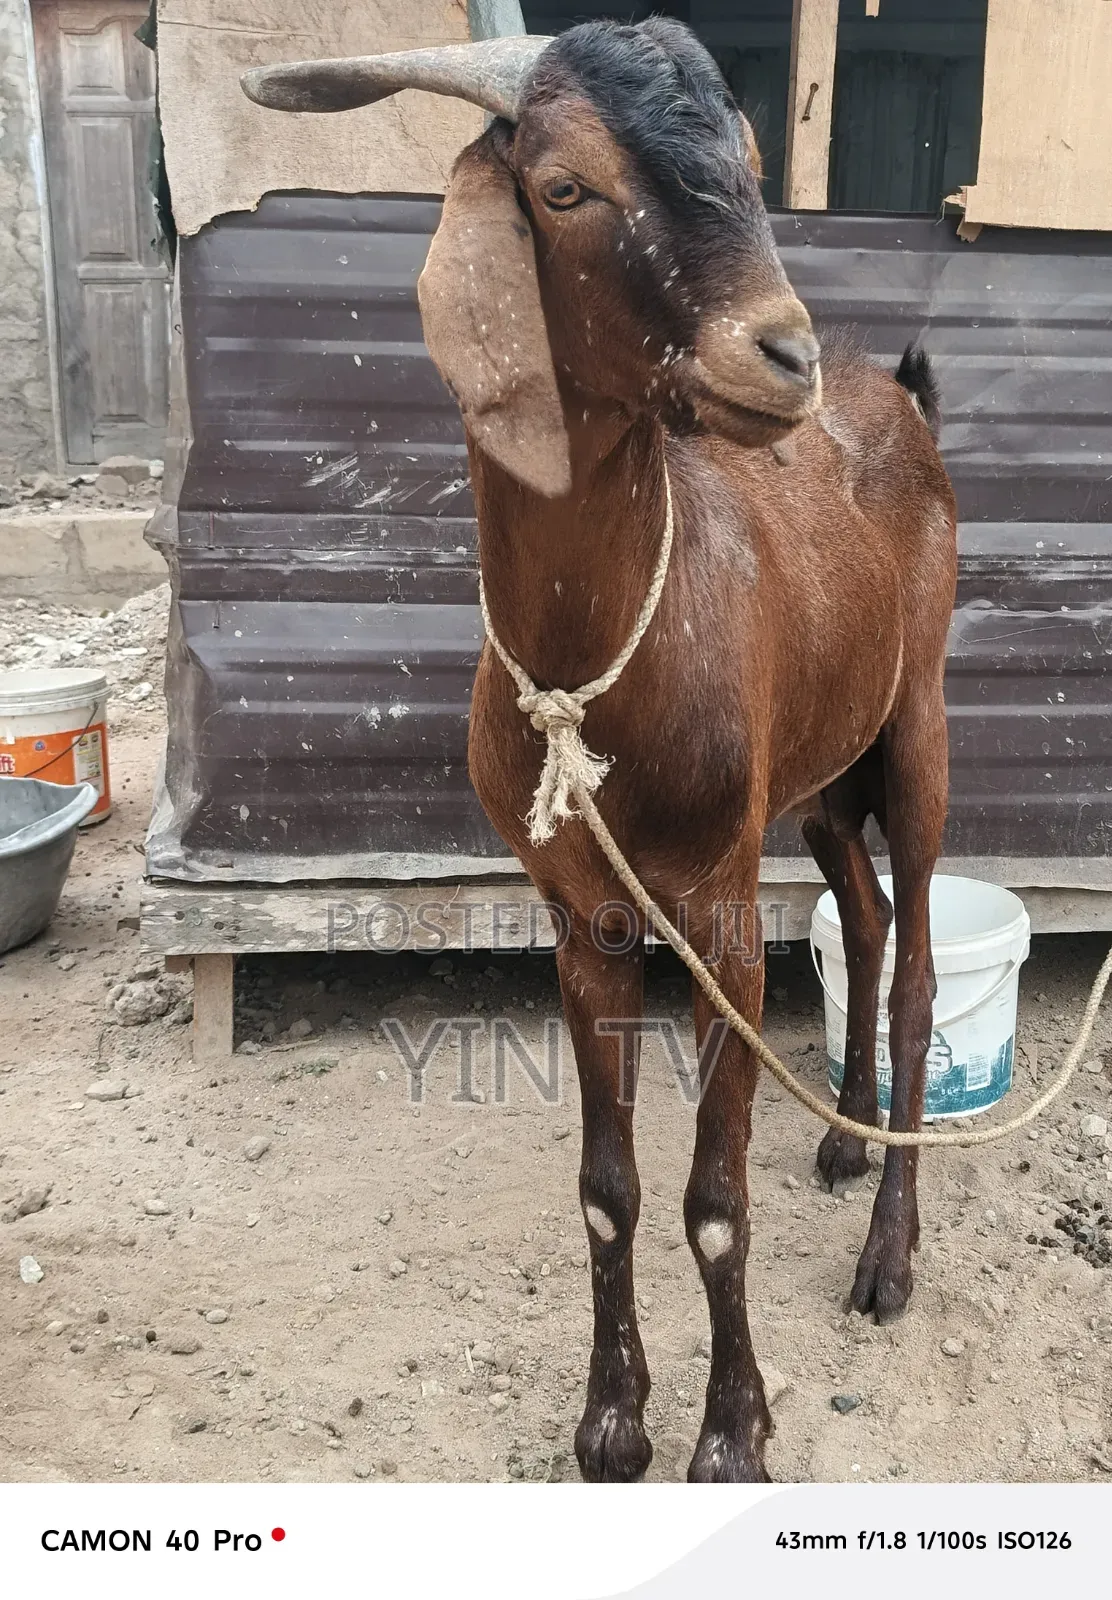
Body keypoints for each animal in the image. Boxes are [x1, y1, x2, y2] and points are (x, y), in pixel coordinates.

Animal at [244, 18, 958, 1482]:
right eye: (563, 187)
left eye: (747, 160)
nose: (782, 353)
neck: (592, 676)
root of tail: (895, 394)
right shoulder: (583, 917)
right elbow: (609, 1188)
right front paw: (613, 1422)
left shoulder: (720, 913)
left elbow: (713, 1198)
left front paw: (732, 1436)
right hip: (815, 773)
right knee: (861, 911)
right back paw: (844, 1143)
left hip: (915, 724)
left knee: (916, 956)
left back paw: (889, 1253)